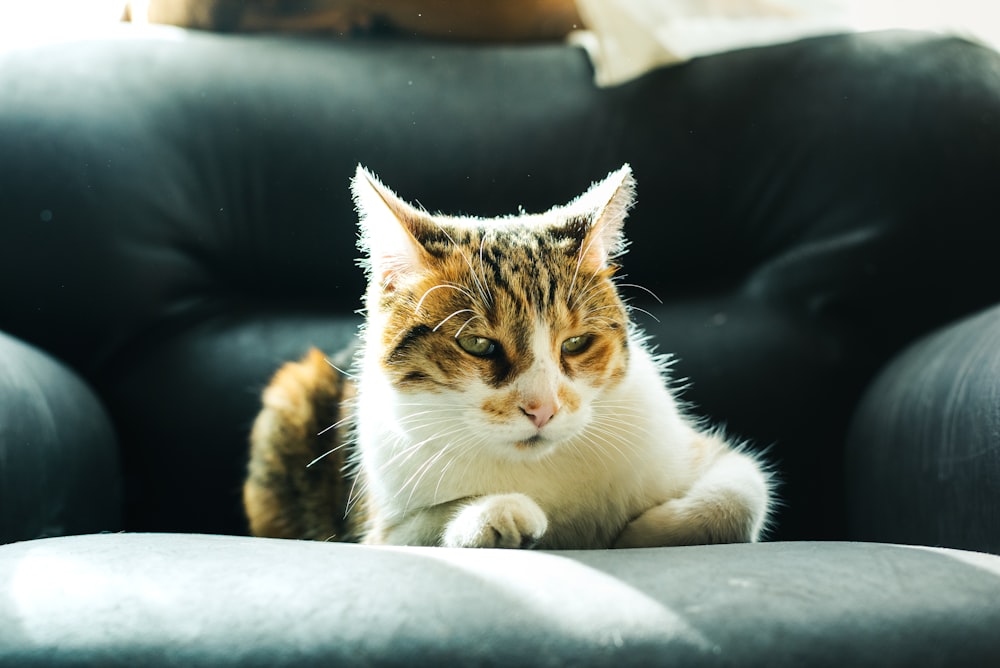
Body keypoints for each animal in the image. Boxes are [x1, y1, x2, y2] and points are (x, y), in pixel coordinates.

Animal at [244, 166, 772, 548]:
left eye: (575, 344)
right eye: (478, 345)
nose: (543, 410)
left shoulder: (690, 449)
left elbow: (741, 494)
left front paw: (640, 532)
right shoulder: (379, 528)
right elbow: (423, 527)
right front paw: (493, 513)